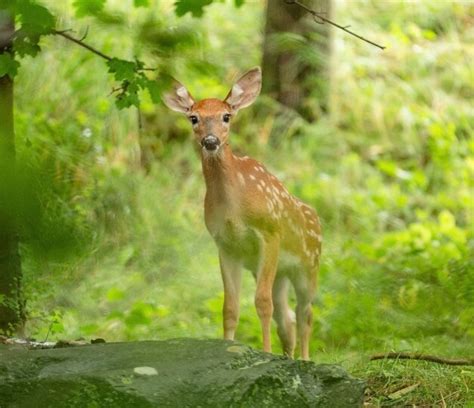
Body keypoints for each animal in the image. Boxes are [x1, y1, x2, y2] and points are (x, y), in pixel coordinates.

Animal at [163, 67, 322, 360]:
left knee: (305, 312)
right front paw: (227, 348)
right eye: (194, 117)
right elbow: (230, 307)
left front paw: (266, 352)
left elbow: (261, 302)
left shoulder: (270, 232)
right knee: (287, 317)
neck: (233, 210)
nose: (210, 141)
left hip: (309, 266)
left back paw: (306, 359)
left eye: (226, 116)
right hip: (281, 273)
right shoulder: (225, 246)